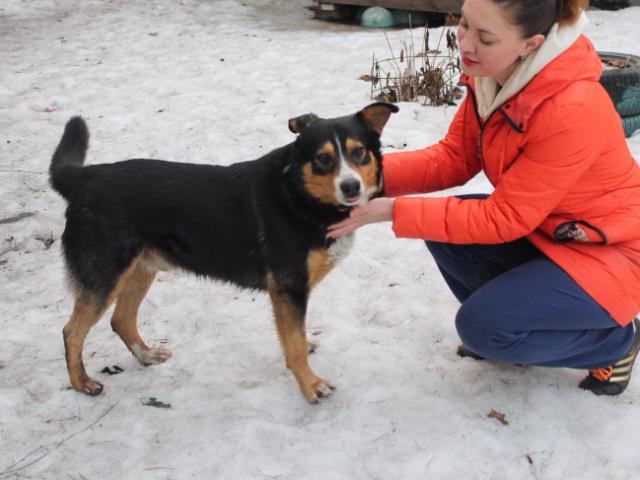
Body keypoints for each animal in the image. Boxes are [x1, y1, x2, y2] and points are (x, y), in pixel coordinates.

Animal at [50, 103, 398, 404]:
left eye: (358, 152)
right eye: (323, 159)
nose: (351, 187)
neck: (298, 192)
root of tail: (86, 177)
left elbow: (293, 337)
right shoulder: (287, 287)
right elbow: (295, 344)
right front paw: (310, 385)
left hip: (140, 269)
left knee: (120, 320)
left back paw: (146, 355)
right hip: (105, 276)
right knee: (72, 331)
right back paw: (82, 383)